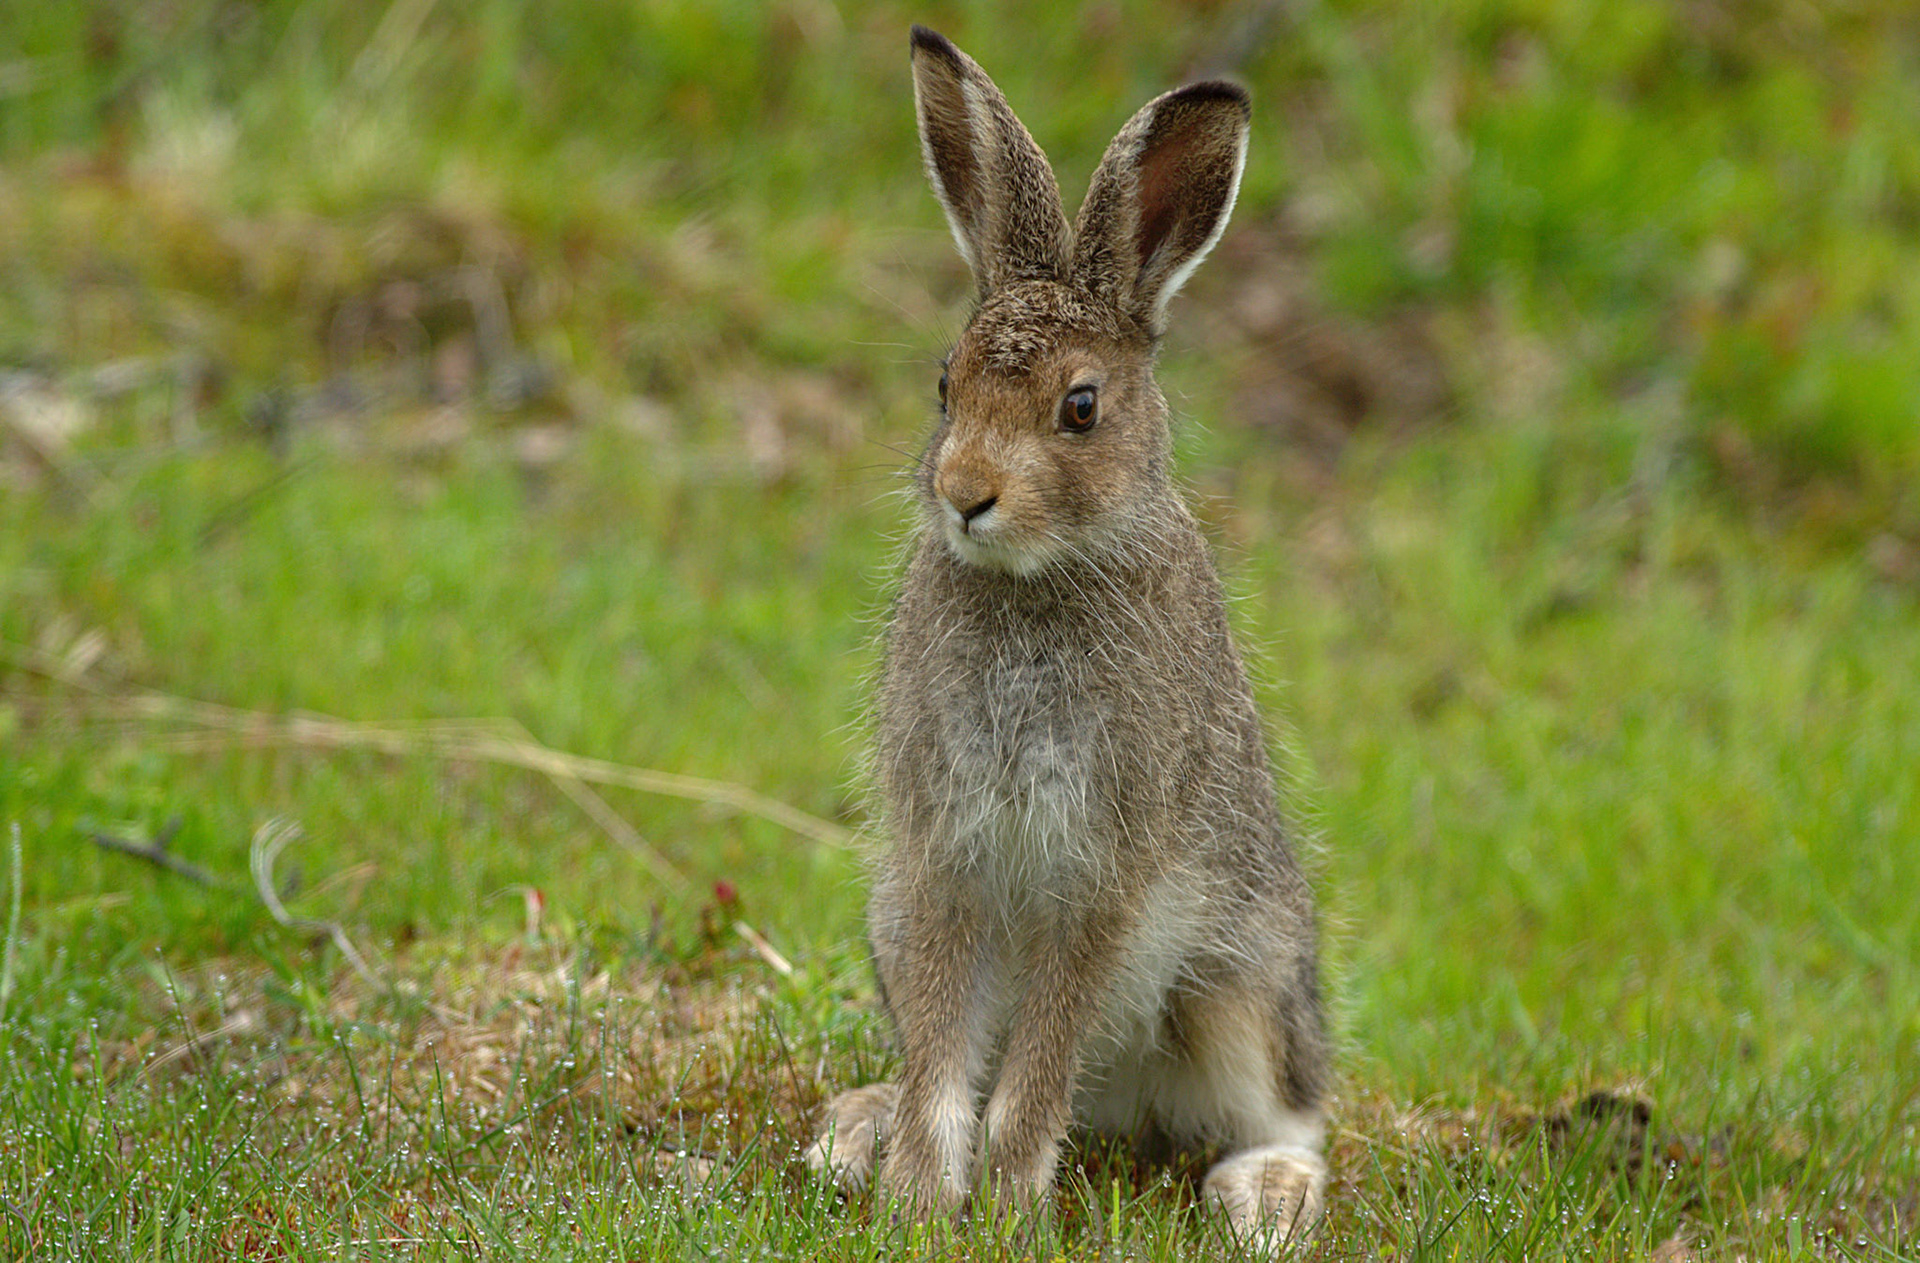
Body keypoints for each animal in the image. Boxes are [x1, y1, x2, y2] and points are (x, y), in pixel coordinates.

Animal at [804, 25, 1330, 1250]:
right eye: (944, 383)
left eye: (1079, 408)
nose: (965, 495)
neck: (1036, 583)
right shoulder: (942, 857)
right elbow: (948, 1065)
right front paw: (917, 1201)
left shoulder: (1103, 877)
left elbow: (1033, 1076)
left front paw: (1000, 1211)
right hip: (886, 918)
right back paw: (855, 1128)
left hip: (1238, 974)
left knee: (1291, 1108)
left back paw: (1267, 1199)